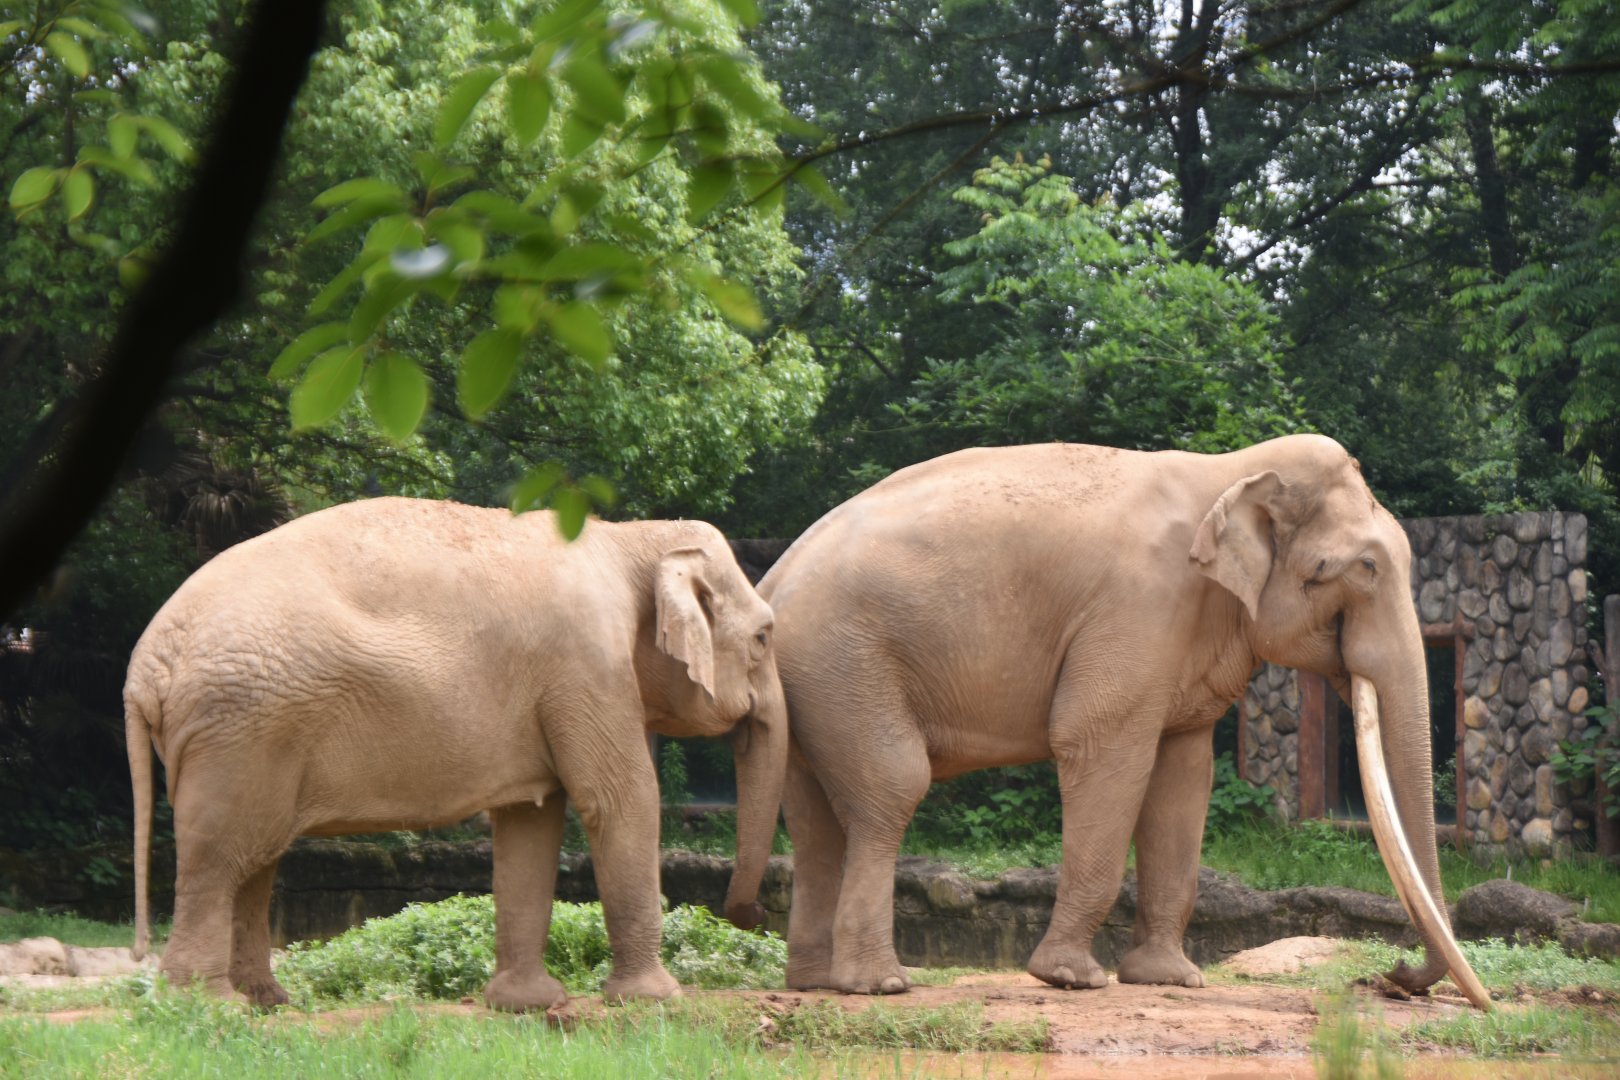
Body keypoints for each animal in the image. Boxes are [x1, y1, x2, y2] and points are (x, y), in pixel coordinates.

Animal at [124, 497, 785, 1010]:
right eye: (763, 637)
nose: (750, 913)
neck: (628, 539)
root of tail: (144, 667)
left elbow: (530, 822)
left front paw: (526, 1006)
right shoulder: (588, 666)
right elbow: (621, 799)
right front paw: (655, 1000)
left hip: (241, 734)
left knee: (254, 857)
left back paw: (267, 1004)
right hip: (239, 729)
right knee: (221, 857)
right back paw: (210, 1007)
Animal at [733, 434, 1490, 1009]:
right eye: (1360, 569)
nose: (1393, 978)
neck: (1231, 469)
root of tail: (769, 582)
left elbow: (1183, 776)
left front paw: (1171, 979)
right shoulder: (1138, 609)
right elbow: (1100, 745)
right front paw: (1072, 978)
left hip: (816, 685)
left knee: (817, 818)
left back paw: (813, 983)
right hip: (845, 663)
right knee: (892, 787)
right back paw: (880, 985)